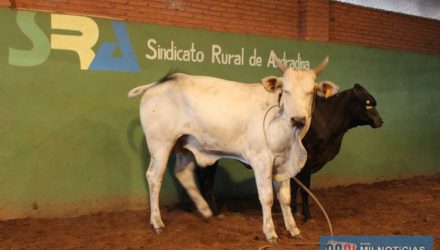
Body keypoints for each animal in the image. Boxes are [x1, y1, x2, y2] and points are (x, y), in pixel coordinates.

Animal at [129, 54, 338, 242]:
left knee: (183, 174)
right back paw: (157, 222)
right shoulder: (261, 160)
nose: (298, 119)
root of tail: (158, 84)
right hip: (160, 144)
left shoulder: (283, 163)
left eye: (311, 92)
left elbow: (285, 198)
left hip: (186, 144)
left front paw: (294, 230)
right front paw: (270, 233)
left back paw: (205, 210)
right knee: (154, 177)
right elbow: (267, 197)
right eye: (286, 90)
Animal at [195, 84, 382, 221]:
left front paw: (294, 210)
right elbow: (305, 188)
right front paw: (308, 216)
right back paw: (217, 213)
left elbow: (295, 187)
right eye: (367, 103)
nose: (380, 121)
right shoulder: (308, 159)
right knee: (206, 180)